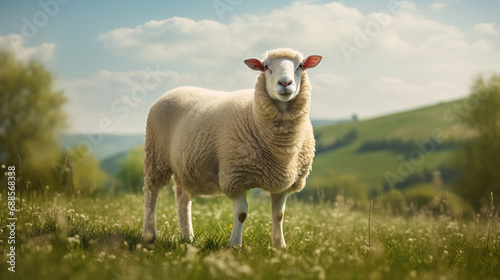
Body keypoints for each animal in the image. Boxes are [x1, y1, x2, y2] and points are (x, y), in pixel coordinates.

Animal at [143, 48, 322, 247]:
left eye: (300, 65)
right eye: (266, 66)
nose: (285, 83)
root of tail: (175, 90)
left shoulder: (285, 181)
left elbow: (279, 215)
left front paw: (279, 246)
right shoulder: (235, 176)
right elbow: (242, 214)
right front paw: (235, 245)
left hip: (185, 167)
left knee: (182, 198)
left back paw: (187, 237)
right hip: (156, 155)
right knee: (151, 193)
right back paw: (149, 234)